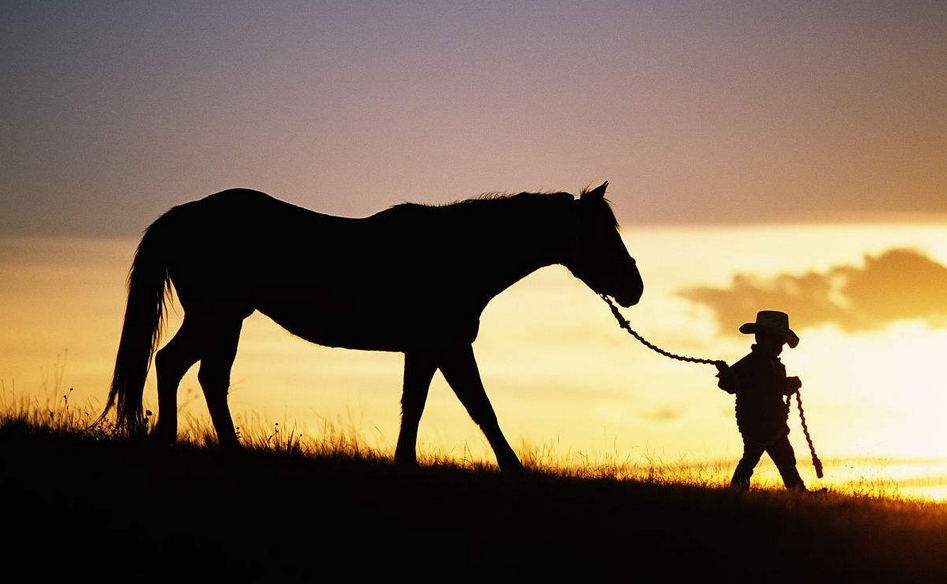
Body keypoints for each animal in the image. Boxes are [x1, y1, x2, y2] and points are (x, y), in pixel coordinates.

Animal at [100, 182, 640, 470]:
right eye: (600, 234)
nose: (633, 287)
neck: (458, 252)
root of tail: (182, 215)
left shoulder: (426, 350)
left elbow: (415, 406)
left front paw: (405, 463)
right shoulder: (446, 346)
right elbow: (479, 409)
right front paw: (514, 467)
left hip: (227, 319)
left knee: (204, 376)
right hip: (217, 315)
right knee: (174, 364)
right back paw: (171, 441)